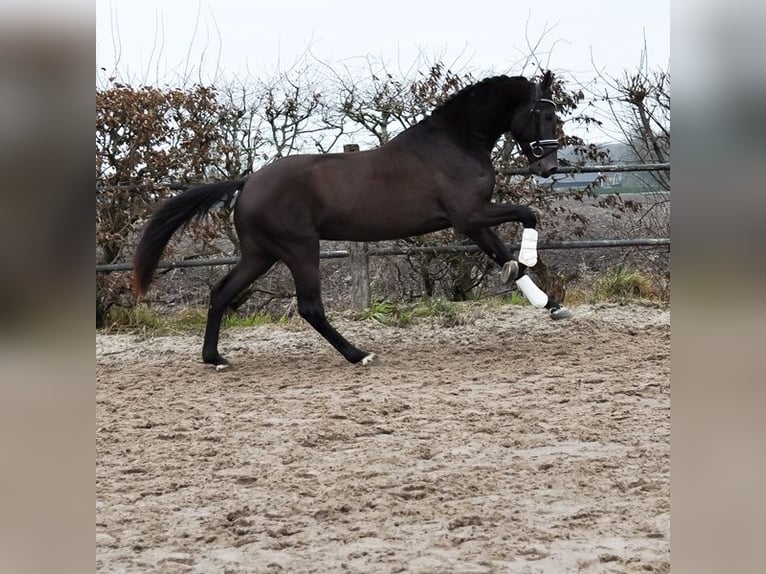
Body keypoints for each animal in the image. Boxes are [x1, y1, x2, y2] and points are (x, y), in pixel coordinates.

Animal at [135, 71, 572, 368]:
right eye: (544, 116)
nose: (549, 166)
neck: (455, 143)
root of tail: (249, 182)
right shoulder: (468, 216)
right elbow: (527, 215)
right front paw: (530, 264)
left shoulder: (473, 222)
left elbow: (503, 257)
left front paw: (550, 304)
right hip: (300, 250)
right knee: (309, 307)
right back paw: (358, 354)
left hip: (261, 254)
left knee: (221, 292)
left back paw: (215, 358)